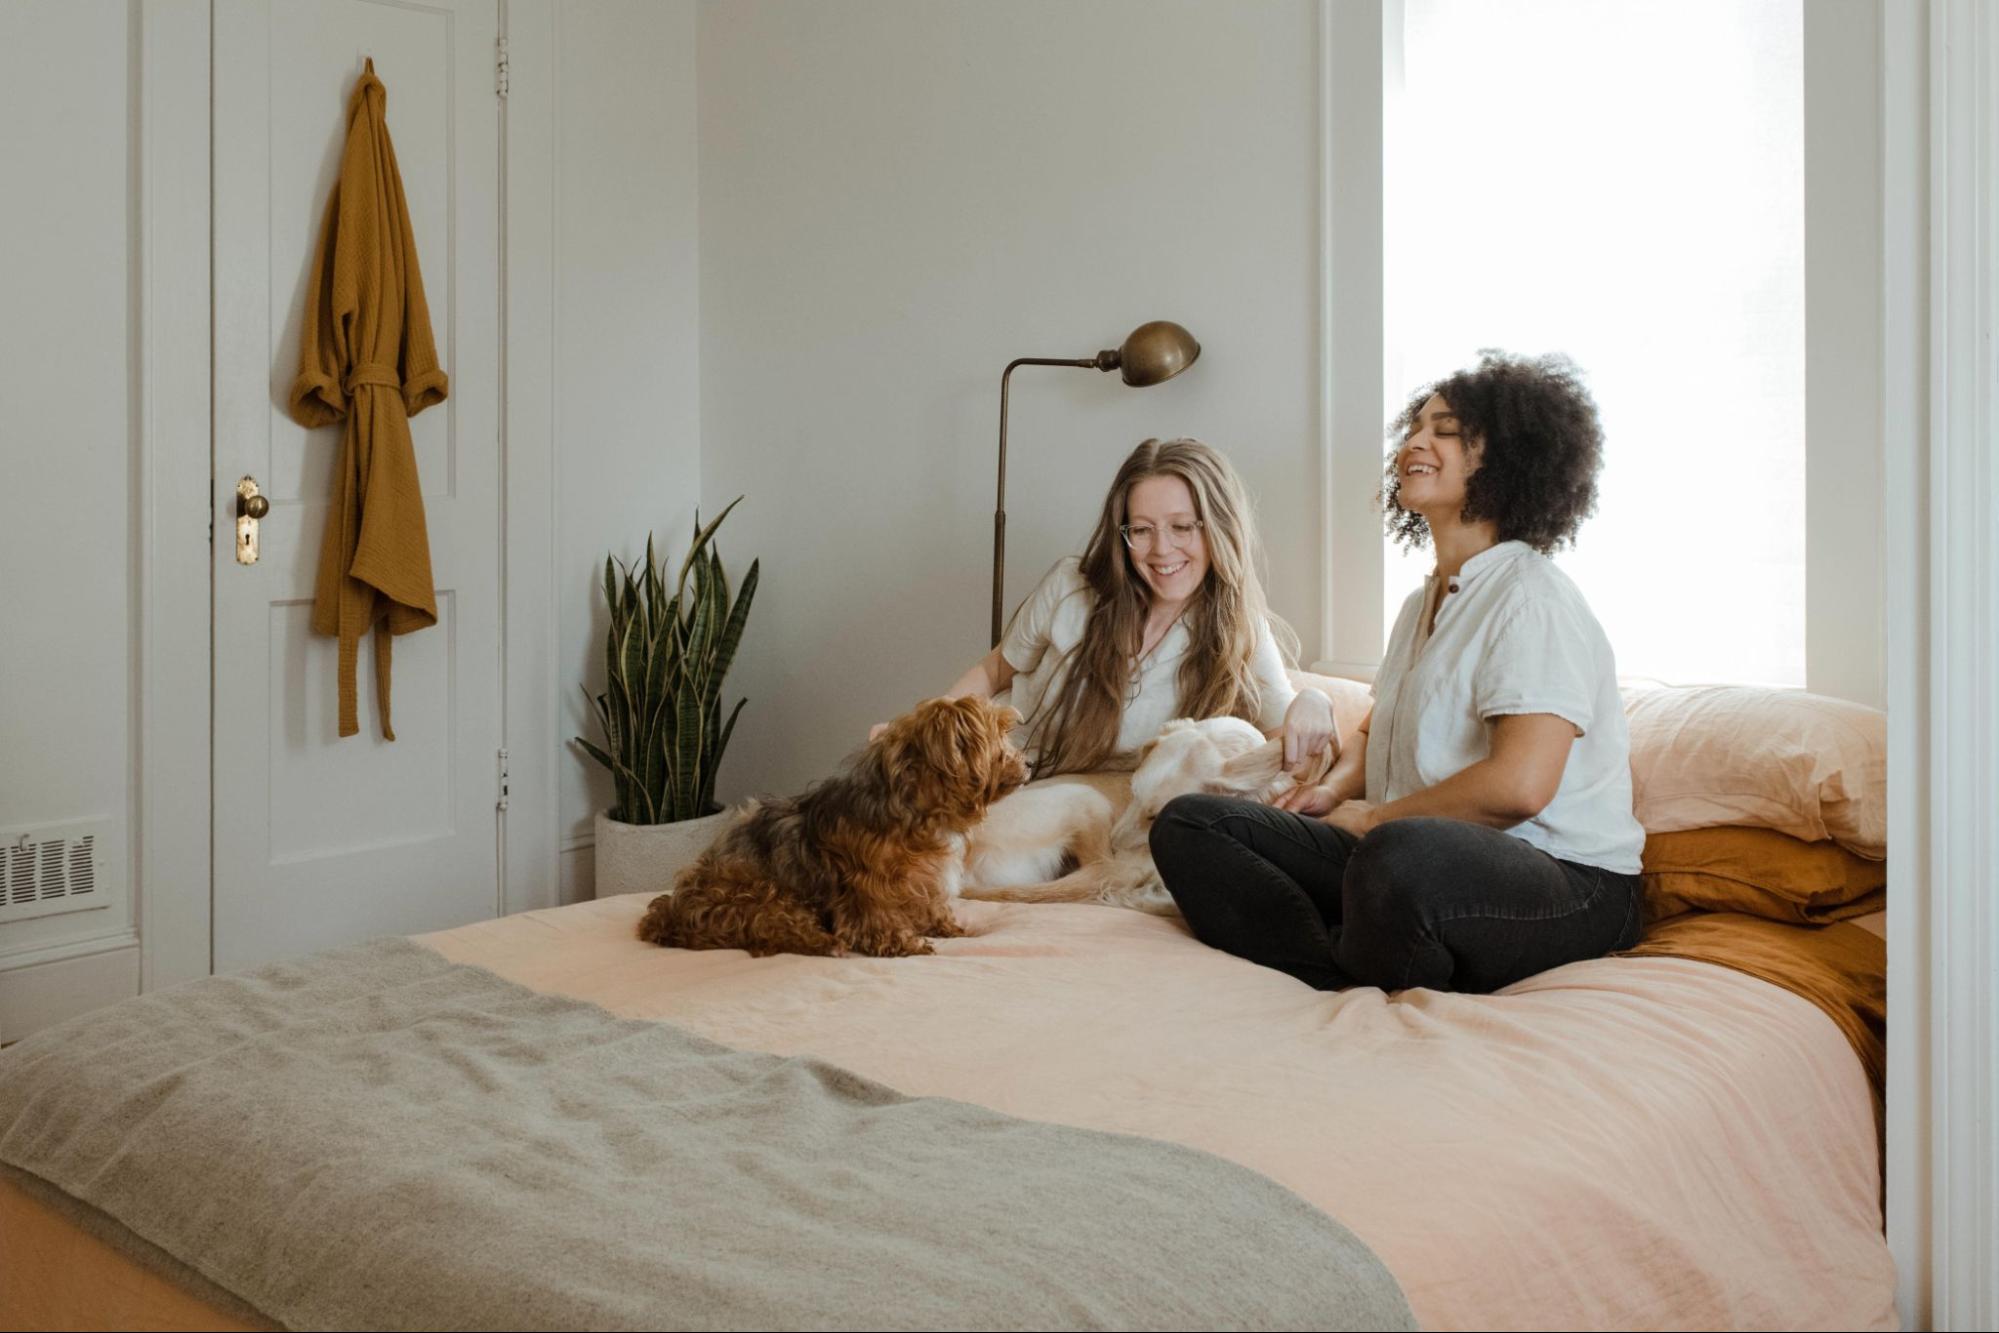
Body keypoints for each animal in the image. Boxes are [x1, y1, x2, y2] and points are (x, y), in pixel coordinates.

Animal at [631, 699, 1023, 959]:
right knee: (776, 929)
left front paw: (947, 927)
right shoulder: (867, 884)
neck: (918, 811)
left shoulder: (922, 879)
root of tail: (670, 914)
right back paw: (826, 942)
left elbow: (930, 905)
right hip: (760, 895)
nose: (1028, 762)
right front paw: (902, 942)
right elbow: (877, 914)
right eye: (999, 738)